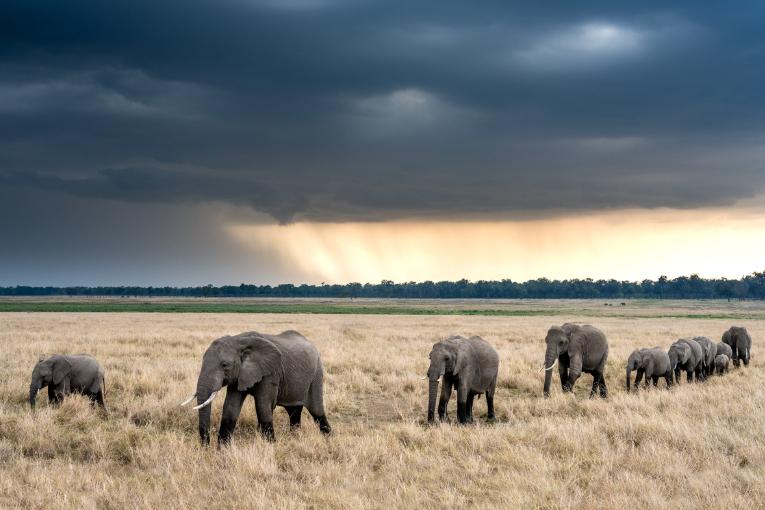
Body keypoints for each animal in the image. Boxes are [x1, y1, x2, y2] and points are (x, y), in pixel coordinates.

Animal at [184, 330, 332, 446]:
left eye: (225, 365)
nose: (206, 447)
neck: (238, 340)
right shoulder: (239, 375)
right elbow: (231, 407)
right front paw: (223, 449)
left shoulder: (270, 372)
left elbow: (262, 406)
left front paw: (271, 445)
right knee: (293, 411)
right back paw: (295, 437)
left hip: (317, 372)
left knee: (316, 410)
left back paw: (328, 437)